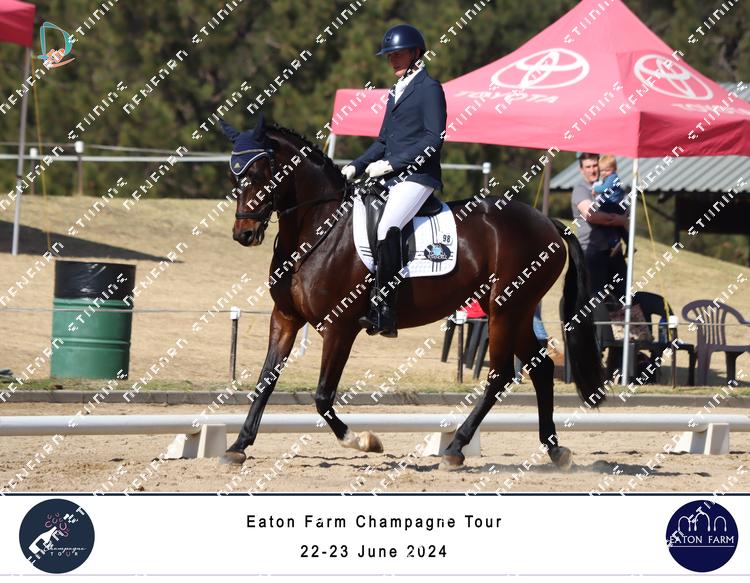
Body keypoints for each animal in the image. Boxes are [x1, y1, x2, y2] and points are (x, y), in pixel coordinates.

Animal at [219, 114, 605, 470]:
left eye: (260, 173)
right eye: (234, 177)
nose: (244, 234)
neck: (317, 229)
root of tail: (547, 223)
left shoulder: (339, 327)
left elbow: (323, 396)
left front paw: (364, 440)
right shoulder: (285, 318)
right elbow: (264, 382)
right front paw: (237, 446)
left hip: (506, 308)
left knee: (500, 376)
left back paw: (455, 448)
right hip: (516, 309)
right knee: (540, 368)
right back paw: (555, 449)